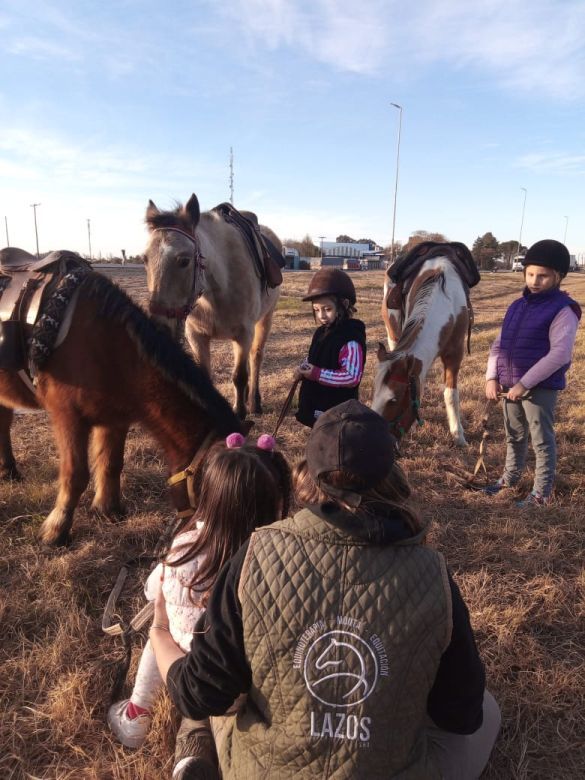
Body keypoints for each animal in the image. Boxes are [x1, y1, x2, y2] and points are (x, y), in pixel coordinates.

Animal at [0, 272, 242, 544]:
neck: (106, 345)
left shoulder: (115, 420)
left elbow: (111, 463)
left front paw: (108, 509)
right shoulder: (68, 418)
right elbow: (76, 475)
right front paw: (56, 530)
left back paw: (8, 470)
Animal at [140, 195, 280, 420]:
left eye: (184, 261)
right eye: (144, 259)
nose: (158, 327)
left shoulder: (244, 334)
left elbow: (240, 376)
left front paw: (240, 413)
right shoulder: (197, 336)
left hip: (265, 319)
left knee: (256, 357)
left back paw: (254, 402)